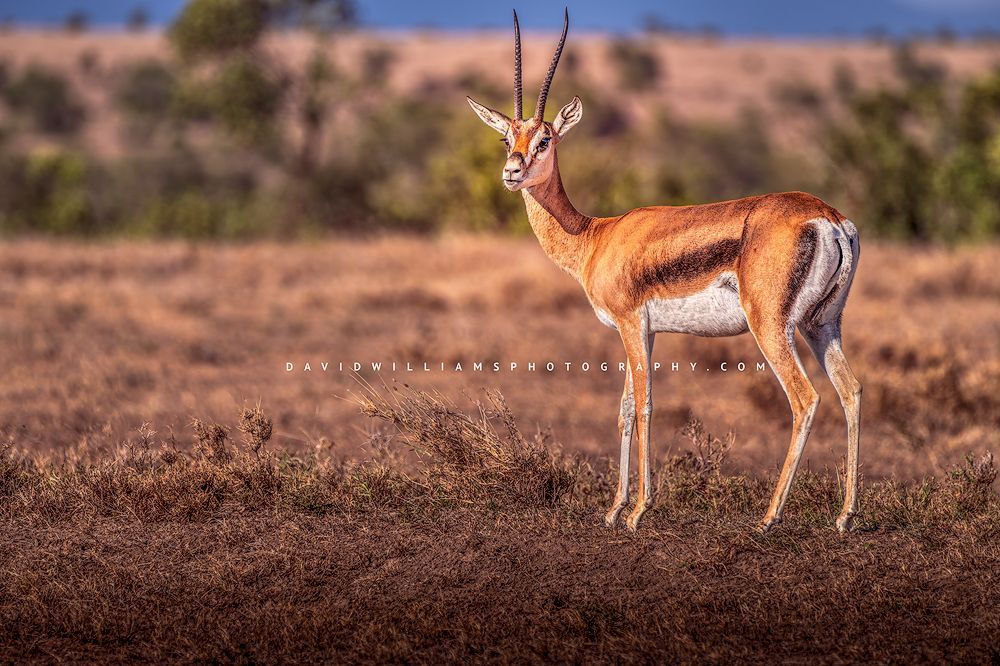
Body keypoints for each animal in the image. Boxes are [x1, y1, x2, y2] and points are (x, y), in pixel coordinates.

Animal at [466, 10, 862, 533]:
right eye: (507, 138)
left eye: (545, 139)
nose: (512, 172)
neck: (595, 236)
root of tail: (829, 218)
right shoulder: (646, 330)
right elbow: (625, 410)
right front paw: (614, 508)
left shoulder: (631, 324)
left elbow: (647, 406)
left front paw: (638, 511)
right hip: (823, 325)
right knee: (850, 390)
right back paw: (845, 516)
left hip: (772, 327)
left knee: (805, 399)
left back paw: (769, 516)